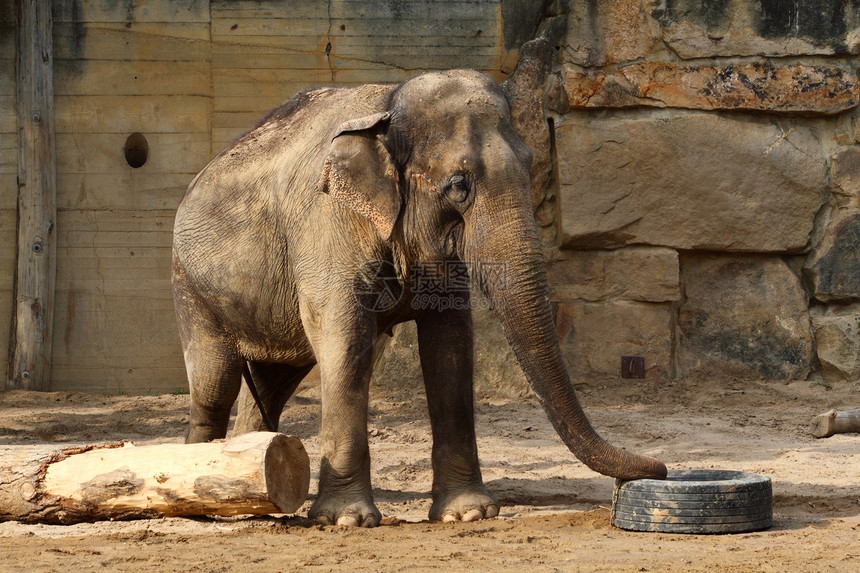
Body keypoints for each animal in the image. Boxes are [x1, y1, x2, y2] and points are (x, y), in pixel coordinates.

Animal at [171, 69, 668, 524]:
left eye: (531, 167)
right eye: (458, 185)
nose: (659, 469)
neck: (389, 104)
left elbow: (450, 345)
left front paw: (468, 513)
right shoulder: (327, 226)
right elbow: (347, 339)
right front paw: (347, 519)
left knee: (270, 386)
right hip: (190, 286)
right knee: (215, 383)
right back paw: (196, 495)